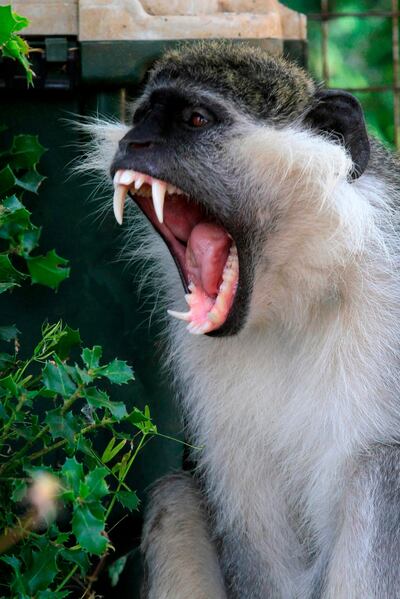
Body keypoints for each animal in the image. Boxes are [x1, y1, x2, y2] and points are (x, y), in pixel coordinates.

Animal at [86, 43, 400, 599]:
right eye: (141, 117)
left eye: (194, 119)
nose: (132, 142)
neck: (303, 292)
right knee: (174, 497)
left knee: (381, 476)